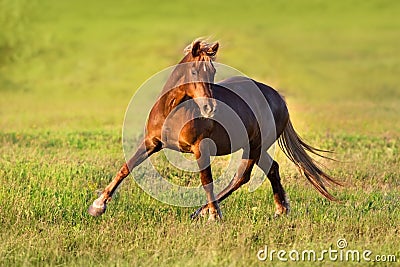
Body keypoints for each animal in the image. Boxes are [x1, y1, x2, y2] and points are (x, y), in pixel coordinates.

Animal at [88, 38, 340, 221]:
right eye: (193, 72)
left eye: (212, 73)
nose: (210, 107)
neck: (175, 111)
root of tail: (278, 97)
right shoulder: (152, 142)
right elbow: (126, 167)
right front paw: (98, 206)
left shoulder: (200, 148)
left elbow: (206, 179)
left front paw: (214, 216)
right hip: (256, 147)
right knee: (271, 169)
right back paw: (280, 210)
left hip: (255, 146)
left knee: (242, 176)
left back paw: (202, 211)